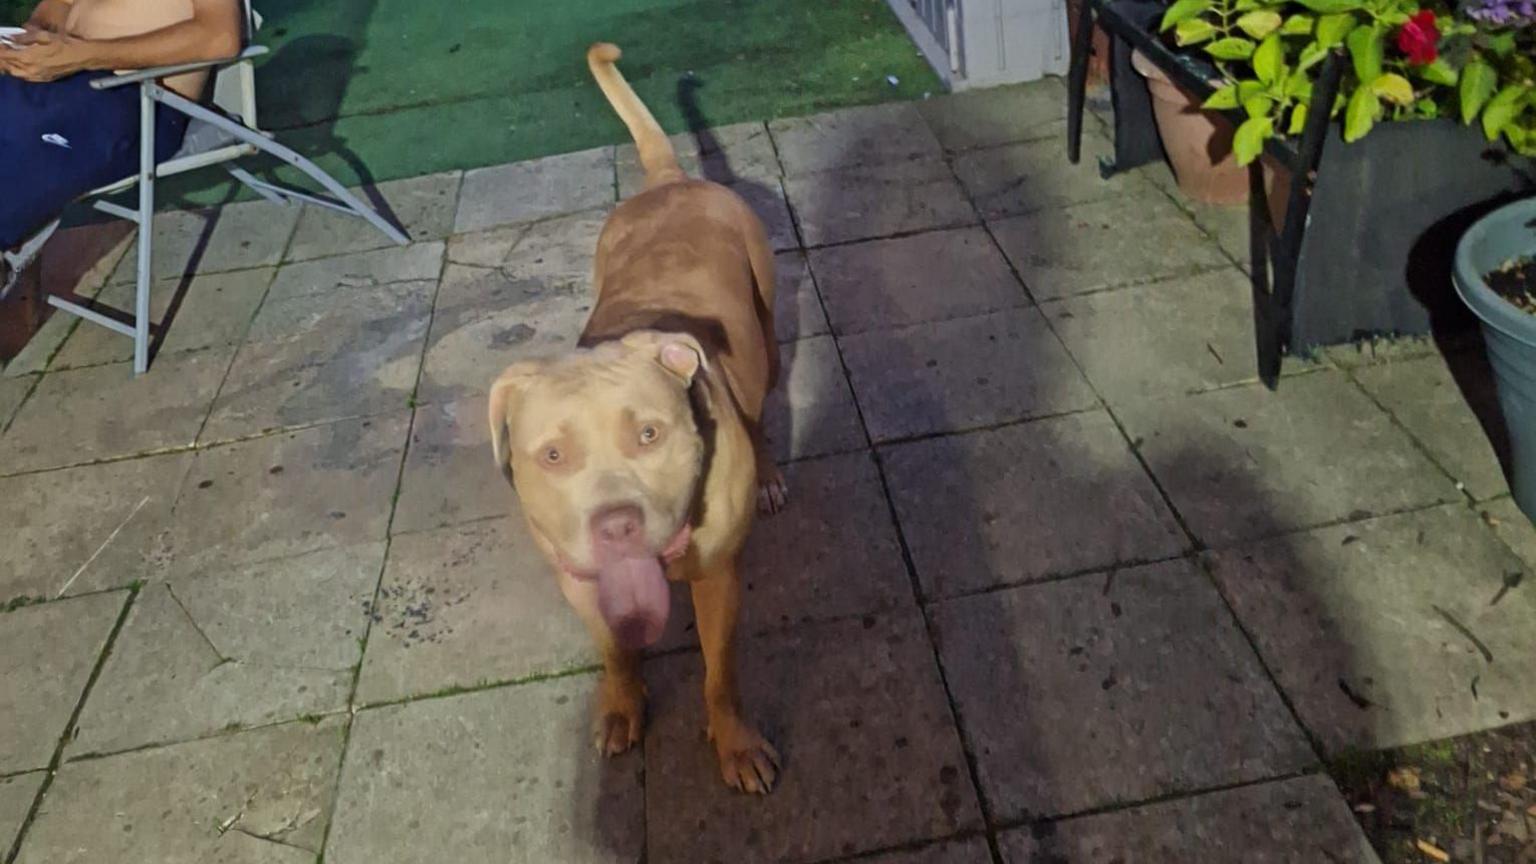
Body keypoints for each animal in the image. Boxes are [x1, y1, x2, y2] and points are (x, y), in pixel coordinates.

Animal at [488, 42, 786, 793]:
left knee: (765, 400)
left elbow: (720, 675)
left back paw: (771, 474)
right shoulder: (579, 581)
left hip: (767, 331)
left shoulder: (717, 578)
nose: (615, 525)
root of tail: (669, 179)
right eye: (551, 455)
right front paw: (623, 706)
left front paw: (735, 744)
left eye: (649, 434)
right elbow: (615, 652)